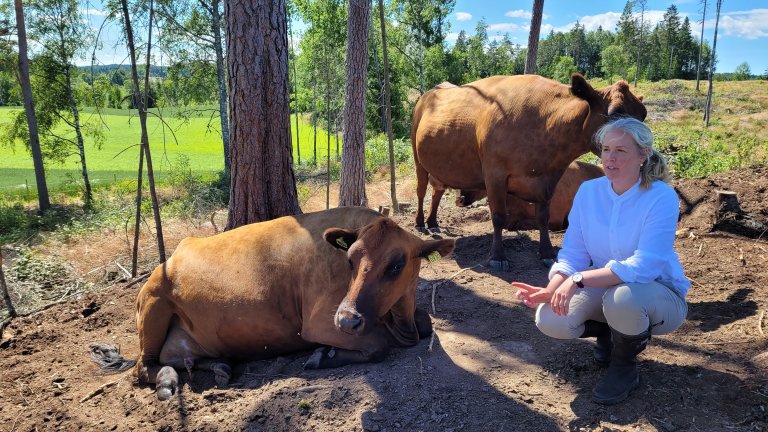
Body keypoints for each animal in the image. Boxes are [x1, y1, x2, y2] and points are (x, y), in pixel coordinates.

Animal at [90, 208, 452, 400]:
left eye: (396, 264)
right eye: (350, 259)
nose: (347, 320)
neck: (396, 317)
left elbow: (424, 322)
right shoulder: (319, 321)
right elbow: (378, 345)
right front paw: (322, 356)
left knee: (179, 358)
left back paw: (218, 366)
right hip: (153, 303)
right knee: (142, 366)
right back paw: (167, 381)